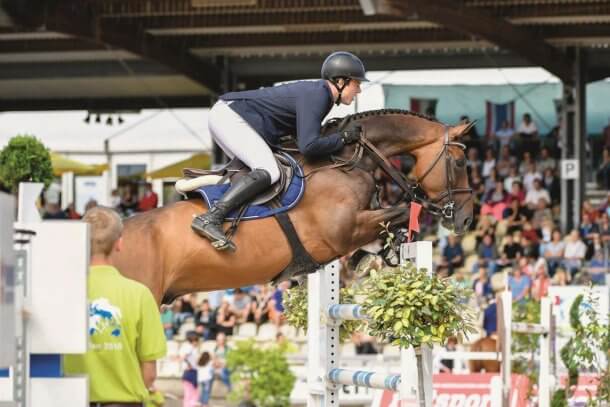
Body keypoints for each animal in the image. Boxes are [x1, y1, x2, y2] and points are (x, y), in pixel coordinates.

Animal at [113, 110, 476, 304]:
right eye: (459, 162)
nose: (466, 220)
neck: (347, 160)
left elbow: (392, 219)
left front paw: (374, 254)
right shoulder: (342, 231)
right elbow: (400, 211)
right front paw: (373, 253)